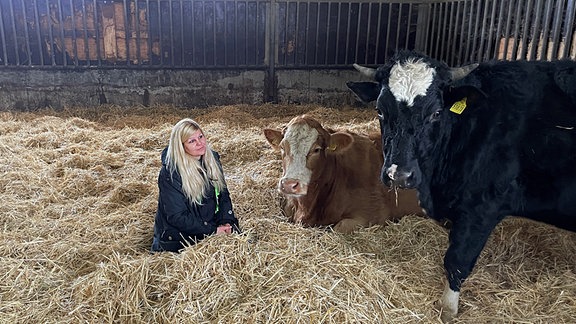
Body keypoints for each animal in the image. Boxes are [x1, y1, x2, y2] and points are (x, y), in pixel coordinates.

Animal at [346, 51, 576, 322]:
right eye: (380, 111)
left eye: (436, 112)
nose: (399, 175)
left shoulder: (482, 208)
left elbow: (457, 260)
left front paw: (448, 308)